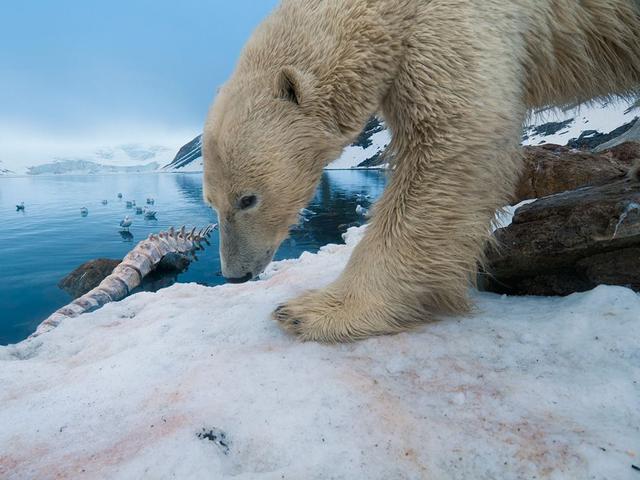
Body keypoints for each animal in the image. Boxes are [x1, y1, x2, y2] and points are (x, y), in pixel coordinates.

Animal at [204, 0, 640, 342]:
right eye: (212, 202)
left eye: (248, 199)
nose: (235, 275)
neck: (385, 9)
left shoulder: (453, 21)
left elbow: (454, 138)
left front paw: (313, 311)